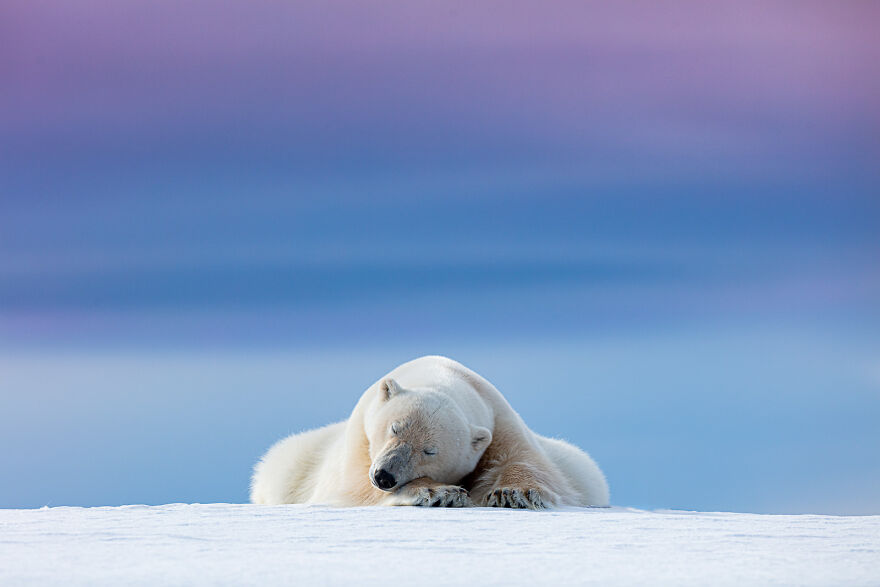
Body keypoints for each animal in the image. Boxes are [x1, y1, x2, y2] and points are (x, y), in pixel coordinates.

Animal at [250, 355, 609, 509]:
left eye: (430, 450)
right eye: (394, 428)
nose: (384, 476)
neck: (440, 375)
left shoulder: (499, 419)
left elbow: (529, 462)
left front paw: (511, 492)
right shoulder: (360, 439)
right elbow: (353, 486)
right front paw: (439, 492)